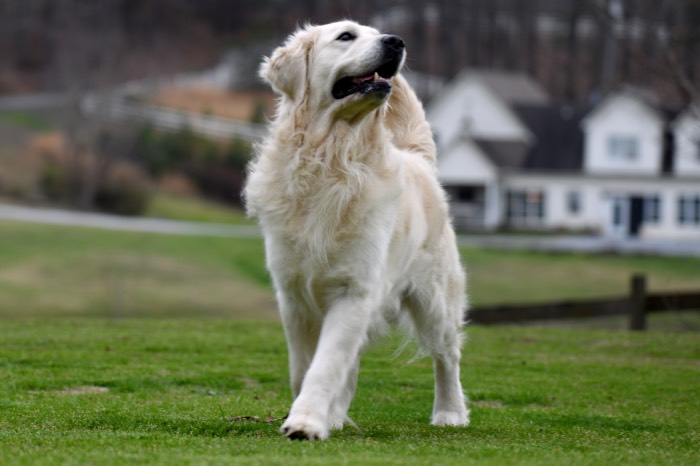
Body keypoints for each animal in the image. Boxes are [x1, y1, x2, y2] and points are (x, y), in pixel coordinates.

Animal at [246, 19, 470, 440]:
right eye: (346, 36)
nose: (396, 41)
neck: (333, 156)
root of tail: (418, 160)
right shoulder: (294, 295)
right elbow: (305, 367)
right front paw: (313, 415)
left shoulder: (355, 290)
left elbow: (326, 364)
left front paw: (306, 421)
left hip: (435, 298)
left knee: (447, 355)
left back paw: (450, 412)